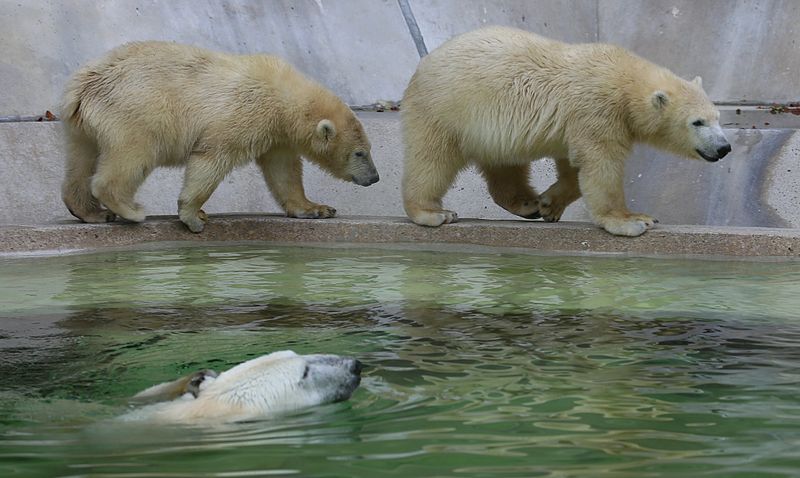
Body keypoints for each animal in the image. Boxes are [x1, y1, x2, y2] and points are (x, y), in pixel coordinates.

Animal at [61, 41, 380, 232]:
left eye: (368, 148)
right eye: (360, 153)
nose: (375, 178)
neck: (284, 97)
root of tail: (82, 87)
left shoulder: (277, 135)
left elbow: (284, 172)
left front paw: (317, 209)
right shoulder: (244, 114)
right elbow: (213, 158)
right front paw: (194, 216)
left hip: (83, 126)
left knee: (81, 159)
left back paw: (91, 212)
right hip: (136, 111)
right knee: (132, 157)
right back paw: (130, 210)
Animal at [400, 27, 732, 236]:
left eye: (717, 117)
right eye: (697, 122)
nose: (724, 147)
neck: (623, 79)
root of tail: (423, 64)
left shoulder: (578, 122)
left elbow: (573, 167)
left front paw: (549, 204)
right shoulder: (597, 109)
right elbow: (601, 165)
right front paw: (632, 220)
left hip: (488, 129)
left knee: (505, 165)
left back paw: (527, 204)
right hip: (447, 109)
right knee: (432, 159)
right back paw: (432, 213)